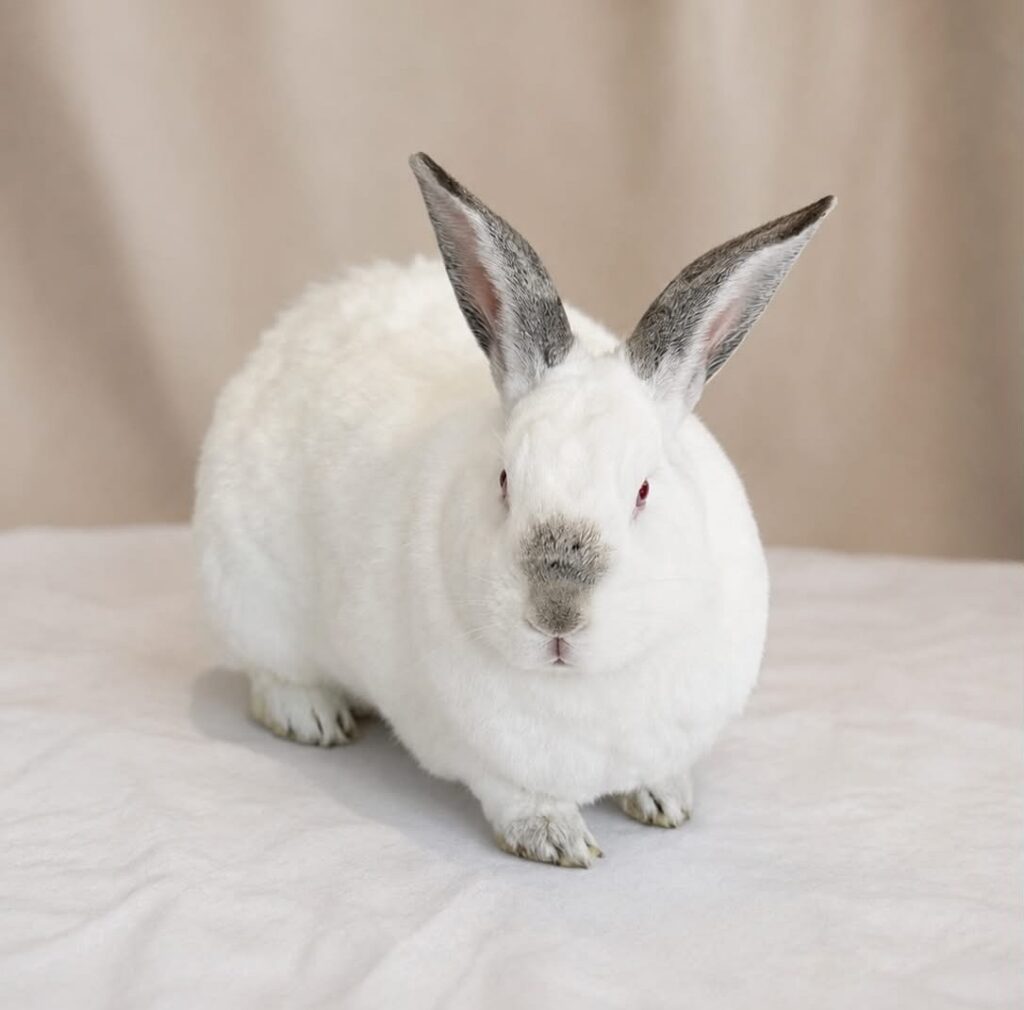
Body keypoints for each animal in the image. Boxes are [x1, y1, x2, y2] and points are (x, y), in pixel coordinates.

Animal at [193, 152, 834, 868]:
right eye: (504, 480)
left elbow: (660, 771)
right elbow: (514, 795)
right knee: (268, 673)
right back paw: (312, 717)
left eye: (642, 491)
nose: (557, 613)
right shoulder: (474, 754)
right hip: (247, 594)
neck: (586, 686)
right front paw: (557, 839)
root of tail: (304, 316)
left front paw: (667, 801)